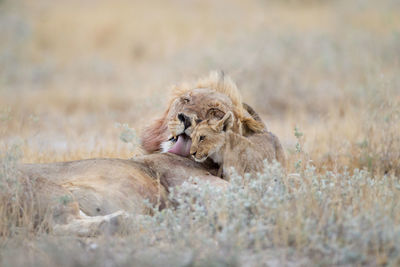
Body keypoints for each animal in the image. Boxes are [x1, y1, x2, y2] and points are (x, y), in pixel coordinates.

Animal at [14, 71, 284, 237]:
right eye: (186, 100)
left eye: (214, 112)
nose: (184, 118)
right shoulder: (192, 185)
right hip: (49, 189)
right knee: (59, 225)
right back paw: (135, 221)